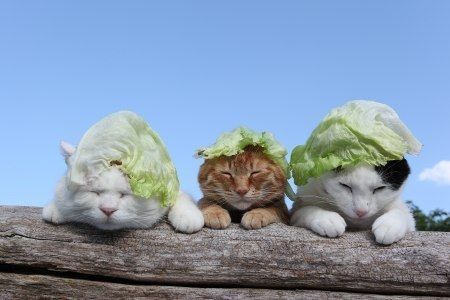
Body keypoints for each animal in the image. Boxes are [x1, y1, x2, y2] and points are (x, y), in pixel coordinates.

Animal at [42, 142, 204, 233]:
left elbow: (182, 198)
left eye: (124, 194)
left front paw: (188, 217)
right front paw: (55, 208)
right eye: (95, 192)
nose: (108, 210)